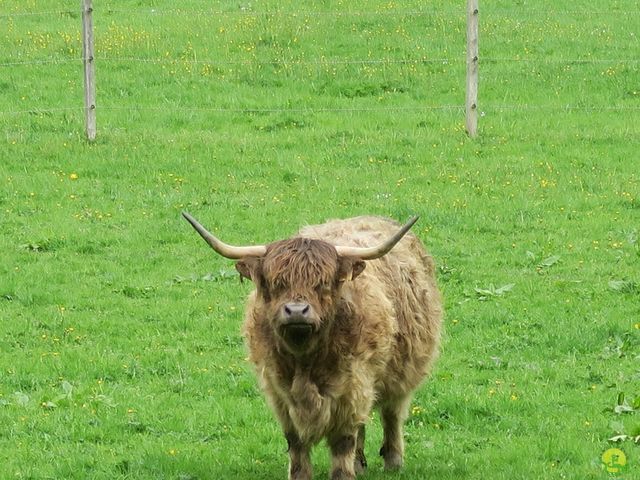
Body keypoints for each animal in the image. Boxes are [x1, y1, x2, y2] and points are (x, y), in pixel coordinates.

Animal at [181, 214, 440, 480]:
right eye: (276, 283)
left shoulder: (353, 387)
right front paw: (301, 475)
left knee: (392, 414)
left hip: (404, 370)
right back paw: (360, 463)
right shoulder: (280, 392)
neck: (305, 362)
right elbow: (296, 443)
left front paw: (344, 474)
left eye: (323, 283)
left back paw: (393, 461)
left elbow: (343, 442)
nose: (297, 311)